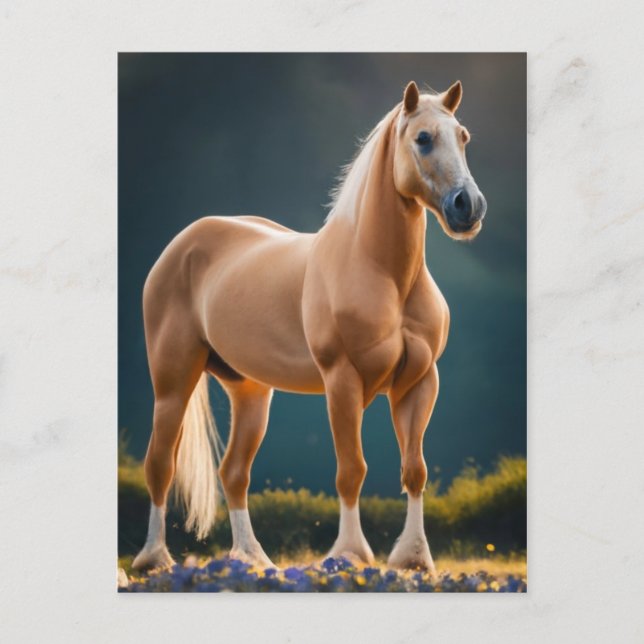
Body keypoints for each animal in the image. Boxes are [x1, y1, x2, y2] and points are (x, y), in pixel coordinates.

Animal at [132, 80, 487, 573]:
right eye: (422, 138)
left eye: (463, 136)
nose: (467, 206)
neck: (380, 271)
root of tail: (180, 245)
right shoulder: (343, 381)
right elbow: (351, 470)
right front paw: (350, 553)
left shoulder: (419, 382)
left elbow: (414, 469)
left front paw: (414, 557)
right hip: (173, 382)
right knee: (160, 464)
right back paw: (154, 559)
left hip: (250, 392)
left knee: (233, 473)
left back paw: (254, 561)